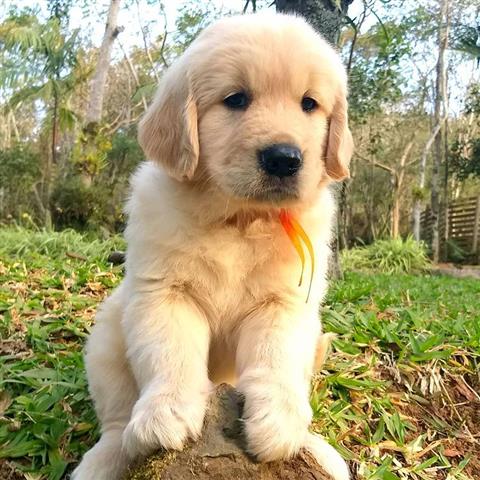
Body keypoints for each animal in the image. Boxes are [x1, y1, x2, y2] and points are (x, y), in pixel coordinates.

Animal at [74, 11, 352, 480]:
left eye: (309, 104)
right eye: (236, 99)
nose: (284, 158)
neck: (239, 219)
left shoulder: (284, 304)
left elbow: (275, 360)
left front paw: (278, 423)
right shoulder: (166, 294)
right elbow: (172, 354)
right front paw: (166, 412)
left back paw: (317, 449)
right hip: (109, 334)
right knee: (115, 418)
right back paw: (106, 456)